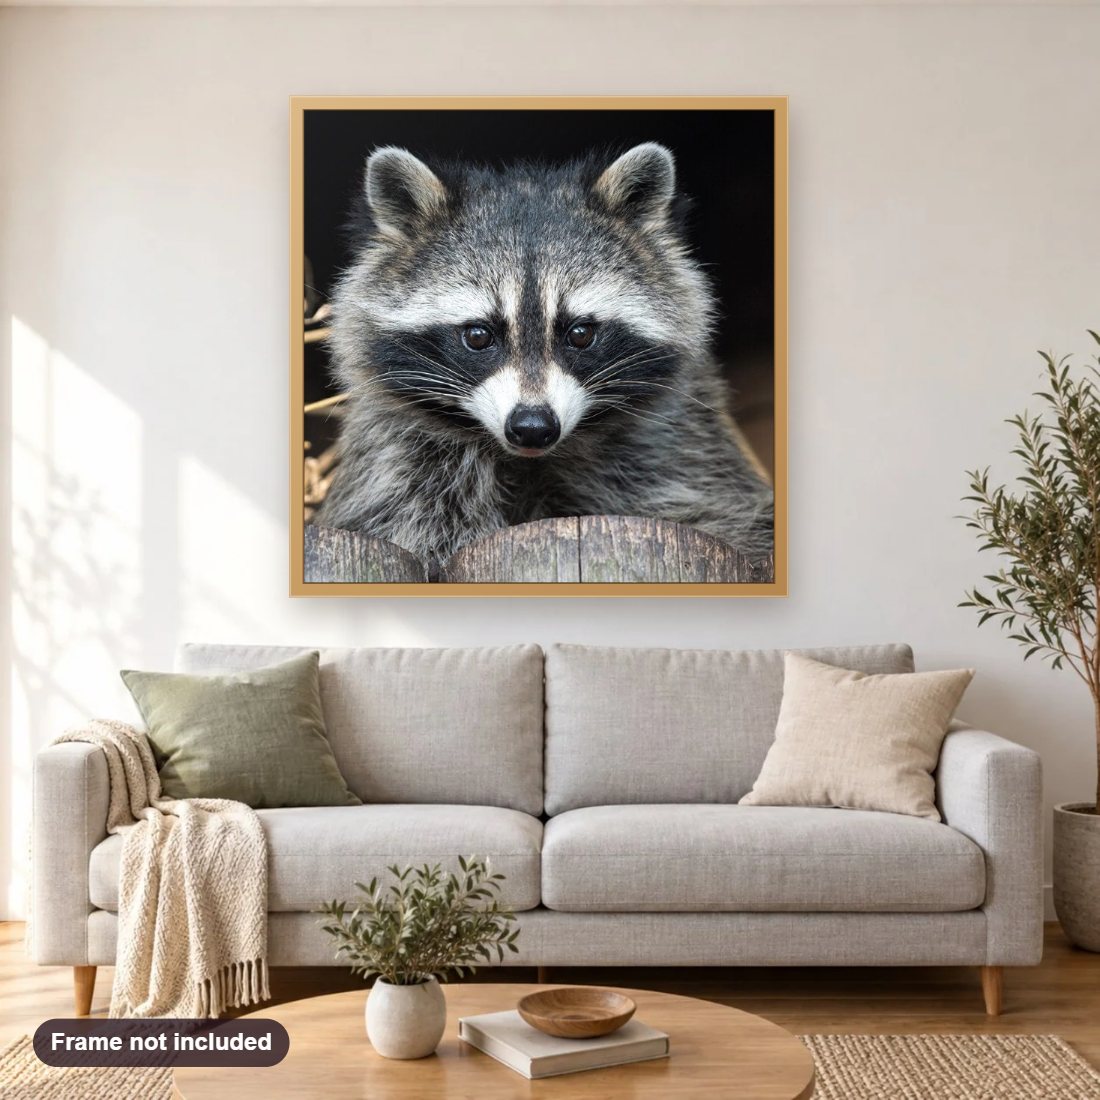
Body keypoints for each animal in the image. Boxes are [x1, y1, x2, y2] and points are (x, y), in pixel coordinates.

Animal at [317, 142, 774, 567]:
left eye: (581, 333)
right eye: (478, 336)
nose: (533, 427)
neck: (527, 461)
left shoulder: (681, 449)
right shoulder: (400, 461)